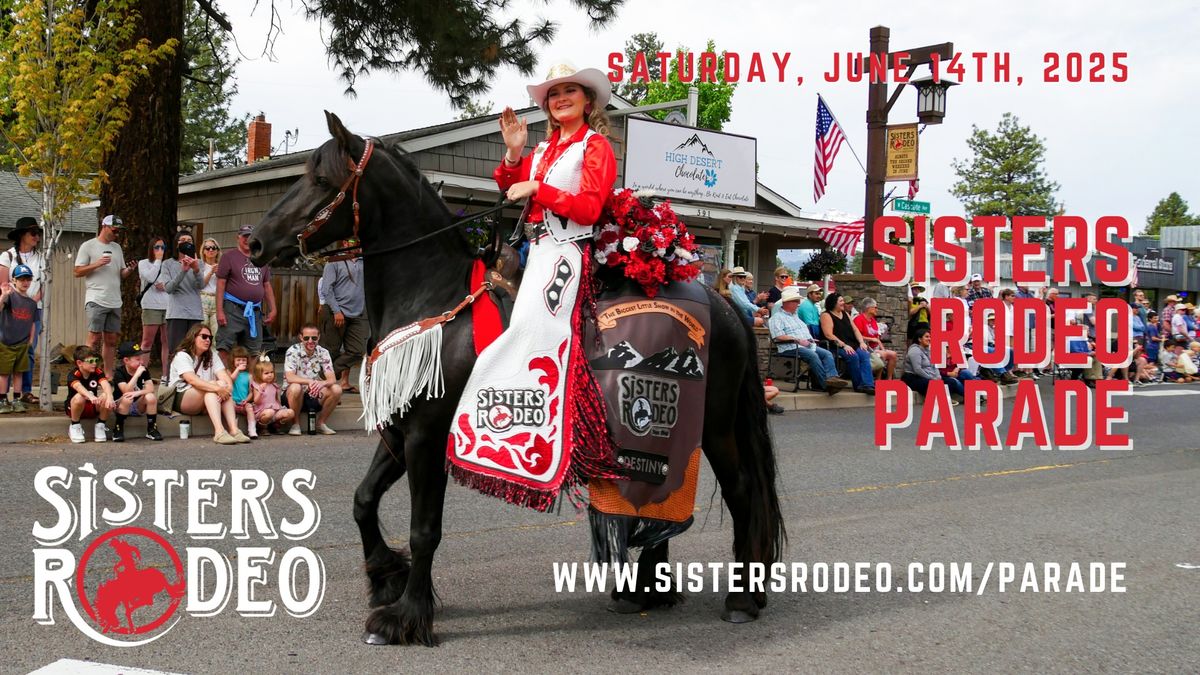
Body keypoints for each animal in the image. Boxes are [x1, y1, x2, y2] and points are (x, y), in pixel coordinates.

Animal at [248, 112, 782, 643]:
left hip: (713, 427)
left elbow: (425, 529)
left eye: (322, 179)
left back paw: (741, 599)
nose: (254, 241)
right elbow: (362, 501)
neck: (433, 296)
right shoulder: (400, 431)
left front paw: (407, 616)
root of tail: (723, 304)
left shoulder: (427, 435)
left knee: (740, 491)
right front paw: (386, 576)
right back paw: (644, 591)